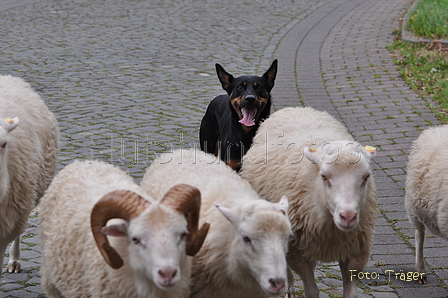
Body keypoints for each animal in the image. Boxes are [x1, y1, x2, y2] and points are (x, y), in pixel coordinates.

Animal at [240, 107, 376, 298]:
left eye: (366, 177)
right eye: (324, 176)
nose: (348, 216)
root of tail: (295, 108)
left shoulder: (355, 253)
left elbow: (350, 293)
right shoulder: (297, 253)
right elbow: (311, 290)